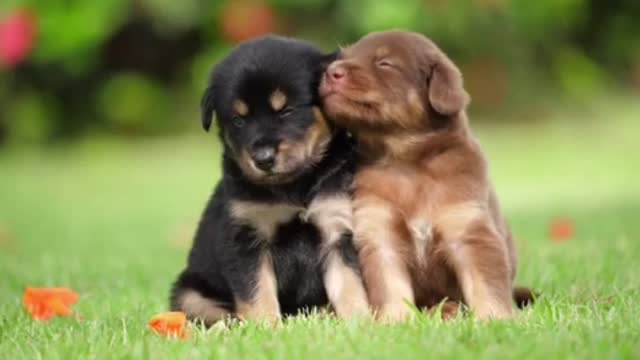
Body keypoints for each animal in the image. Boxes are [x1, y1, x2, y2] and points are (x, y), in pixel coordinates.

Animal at [170, 35, 370, 324]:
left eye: (286, 111)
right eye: (238, 120)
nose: (263, 159)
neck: (294, 186)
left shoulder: (336, 228)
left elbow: (349, 283)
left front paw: (360, 321)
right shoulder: (246, 238)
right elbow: (257, 290)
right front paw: (264, 325)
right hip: (189, 292)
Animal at [320, 29, 536, 320]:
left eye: (385, 63)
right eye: (343, 57)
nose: (330, 72)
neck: (408, 164)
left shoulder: (468, 228)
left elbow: (486, 284)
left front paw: (495, 318)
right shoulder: (379, 231)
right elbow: (390, 285)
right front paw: (395, 319)